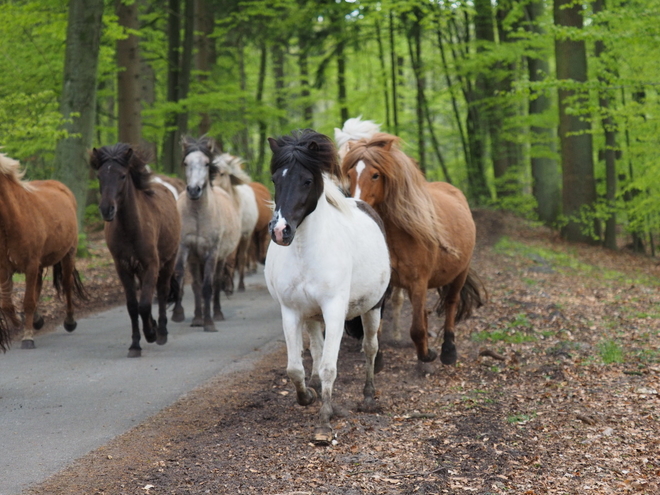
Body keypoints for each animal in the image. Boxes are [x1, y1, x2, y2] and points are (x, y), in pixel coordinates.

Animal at [0, 153, 86, 350]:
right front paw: (20, 322)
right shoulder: (4, 269)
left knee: (67, 285)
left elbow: (28, 301)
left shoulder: (30, 265)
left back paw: (69, 322)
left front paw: (27, 337)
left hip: (68, 255)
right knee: (38, 288)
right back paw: (36, 320)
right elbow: (7, 304)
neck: (13, 218)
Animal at [91, 143, 180, 356]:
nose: (106, 209)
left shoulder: (151, 265)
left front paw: (151, 333)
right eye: (99, 176)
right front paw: (135, 344)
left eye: (122, 175)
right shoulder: (123, 268)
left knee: (162, 292)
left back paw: (161, 332)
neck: (130, 229)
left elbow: (145, 304)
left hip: (169, 261)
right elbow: (133, 306)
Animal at [171, 137, 241, 330]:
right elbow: (184, 278)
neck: (198, 215)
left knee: (216, 282)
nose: (194, 190)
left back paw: (216, 314)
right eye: (186, 163)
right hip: (195, 259)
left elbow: (208, 285)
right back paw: (198, 316)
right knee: (196, 284)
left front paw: (209, 323)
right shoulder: (185, 248)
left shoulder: (211, 252)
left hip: (220, 257)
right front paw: (184, 315)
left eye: (206, 163)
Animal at [342, 134, 482, 366]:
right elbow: (376, 326)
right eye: (350, 174)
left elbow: (416, 329)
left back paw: (448, 350)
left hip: (459, 273)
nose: (357, 206)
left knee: (451, 304)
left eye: (375, 175)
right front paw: (377, 359)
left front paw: (426, 355)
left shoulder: (418, 282)